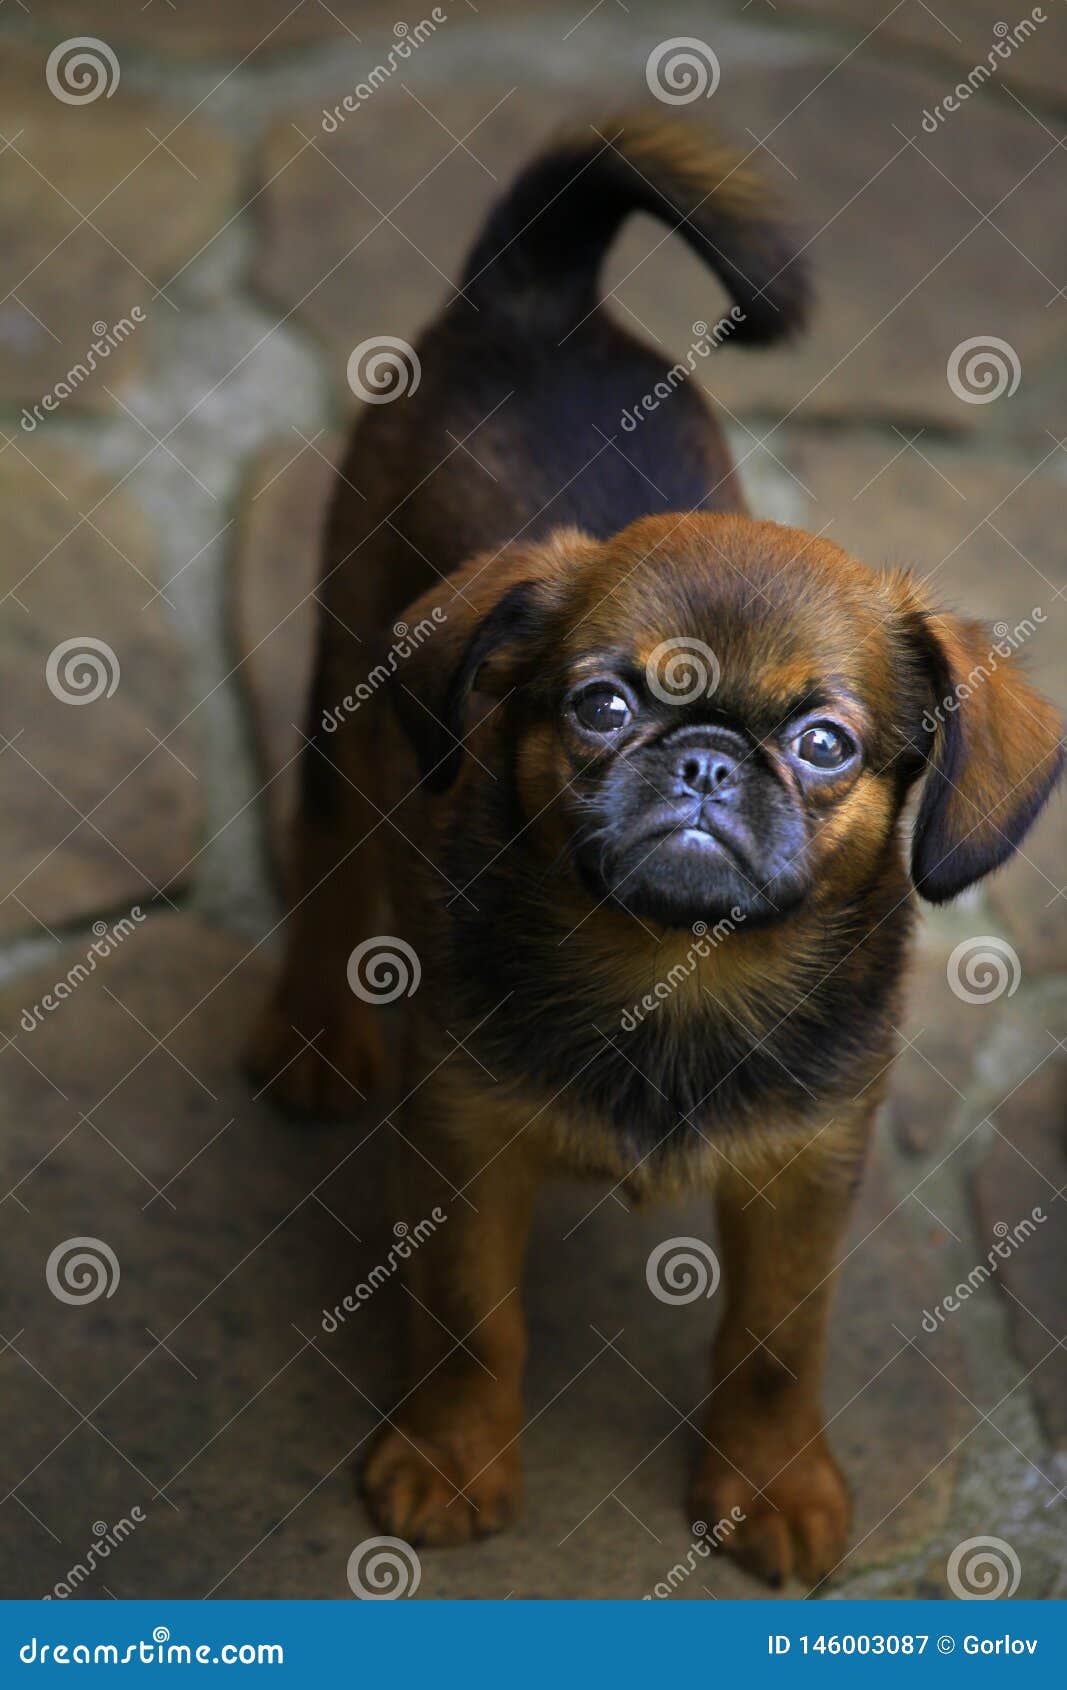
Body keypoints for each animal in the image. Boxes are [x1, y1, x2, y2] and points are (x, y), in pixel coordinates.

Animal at [248, 115, 1061, 1581]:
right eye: (601, 706)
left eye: (823, 744)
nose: (702, 757)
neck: (674, 972)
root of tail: (536, 298)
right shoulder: (460, 1144)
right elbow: (471, 1317)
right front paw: (451, 1461)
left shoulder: (805, 1171)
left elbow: (773, 1341)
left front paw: (771, 1486)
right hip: (351, 675)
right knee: (329, 841)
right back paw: (310, 1032)